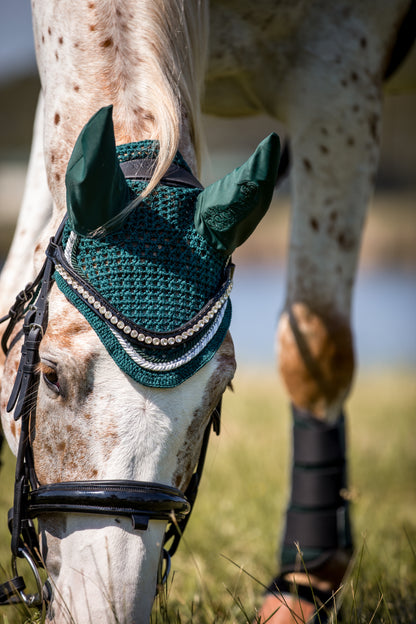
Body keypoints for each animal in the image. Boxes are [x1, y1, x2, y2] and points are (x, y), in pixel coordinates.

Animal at [0, 1, 412, 624]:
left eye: (221, 391)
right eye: (49, 375)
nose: (110, 608)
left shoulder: (338, 86)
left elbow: (317, 351)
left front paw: (301, 587)